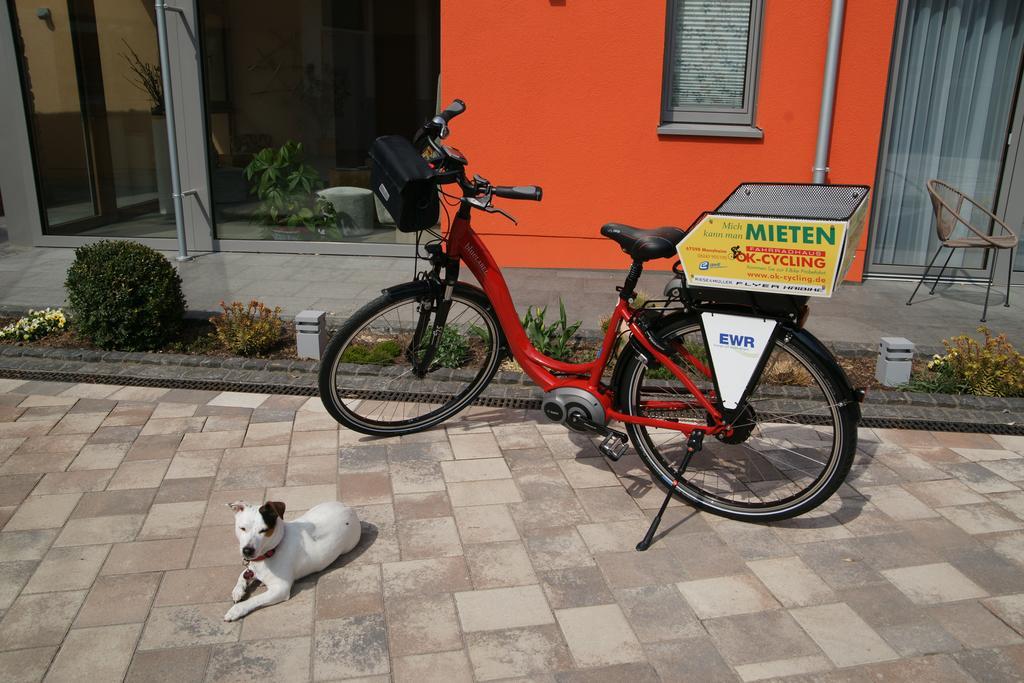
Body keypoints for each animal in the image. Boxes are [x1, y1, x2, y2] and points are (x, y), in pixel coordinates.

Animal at [223, 499, 360, 622]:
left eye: (264, 530)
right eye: (242, 528)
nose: (247, 550)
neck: (272, 551)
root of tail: (348, 508)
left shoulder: (280, 589)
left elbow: (254, 599)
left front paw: (235, 611)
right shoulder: (252, 568)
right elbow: (242, 575)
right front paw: (238, 591)